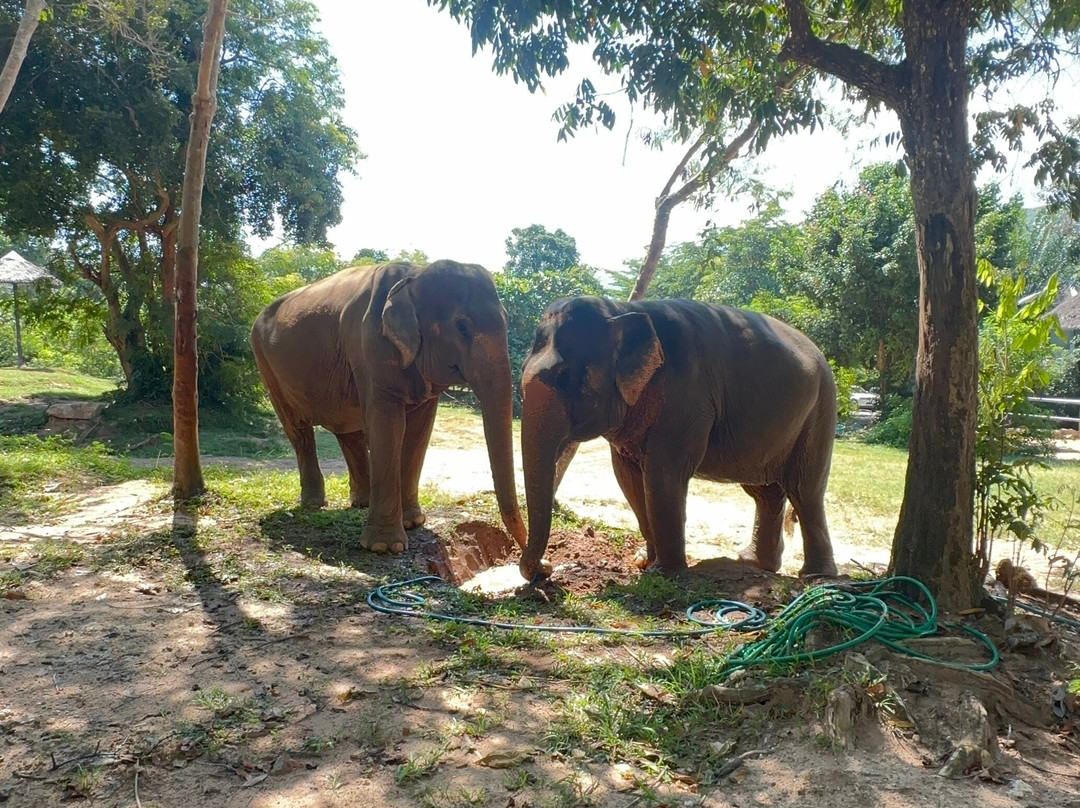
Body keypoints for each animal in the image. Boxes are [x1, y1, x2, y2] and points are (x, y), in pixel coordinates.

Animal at [251, 259, 527, 555]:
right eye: (461, 326)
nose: (534, 562)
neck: (413, 275)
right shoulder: (369, 345)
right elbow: (387, 423)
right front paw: (385, 547)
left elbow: (419, 430)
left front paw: (414, 523)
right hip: (265, 364)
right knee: (298, 430)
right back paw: (314, 504)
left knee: (347, 430)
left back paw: (362, 503)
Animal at [519, 295, 838, 582]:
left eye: (563, 377)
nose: (545, 568)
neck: (622, 309)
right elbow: (628, 478)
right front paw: (644, 562)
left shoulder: (685, 396)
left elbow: (663, 474)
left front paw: (664, 573)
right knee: (765, 492)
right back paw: (754, 563)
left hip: (821, 409)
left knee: (804, 489)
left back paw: (816, 576)